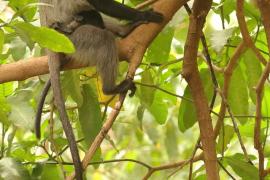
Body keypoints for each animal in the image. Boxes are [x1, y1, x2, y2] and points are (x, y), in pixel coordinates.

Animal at [38, 0, 165, 179]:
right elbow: (101, 4)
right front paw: (144, 15)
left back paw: (124, 30)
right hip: (73, 41)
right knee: (103, 38)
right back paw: (110, 88)